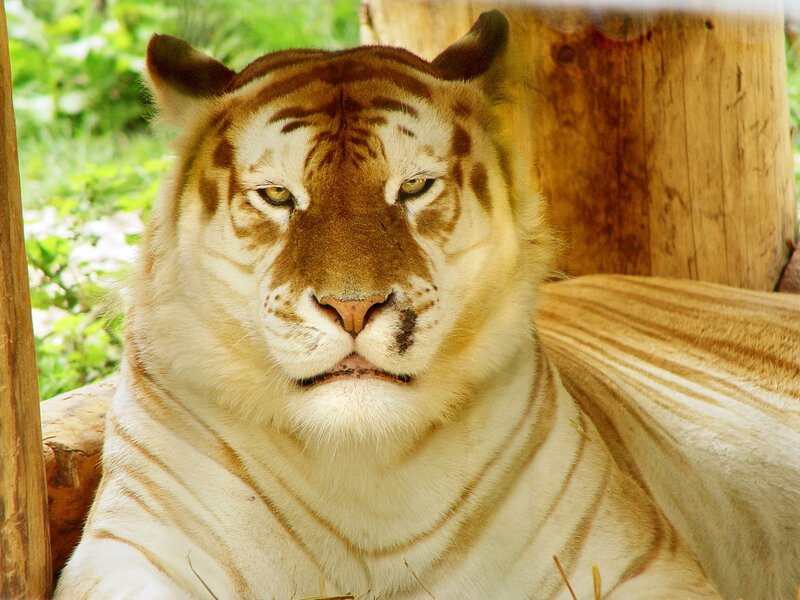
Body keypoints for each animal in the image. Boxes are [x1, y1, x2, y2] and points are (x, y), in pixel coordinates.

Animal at [54, 9, 799, 599]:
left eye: (412, 187)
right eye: (277, 196)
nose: (352, 308)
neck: (364, 474)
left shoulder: (637, 563)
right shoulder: (136, 550)